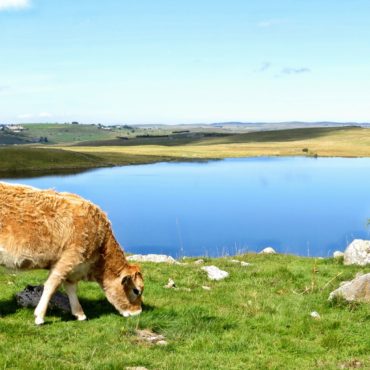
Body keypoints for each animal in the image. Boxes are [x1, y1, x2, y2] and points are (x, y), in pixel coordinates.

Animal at [0, 181, 144, 324]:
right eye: (136, 290)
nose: (138, 312)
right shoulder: (68, 259)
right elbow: (51, 286)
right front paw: (39, 317)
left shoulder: (74, 268)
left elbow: (71, 289)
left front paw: (79, 314)